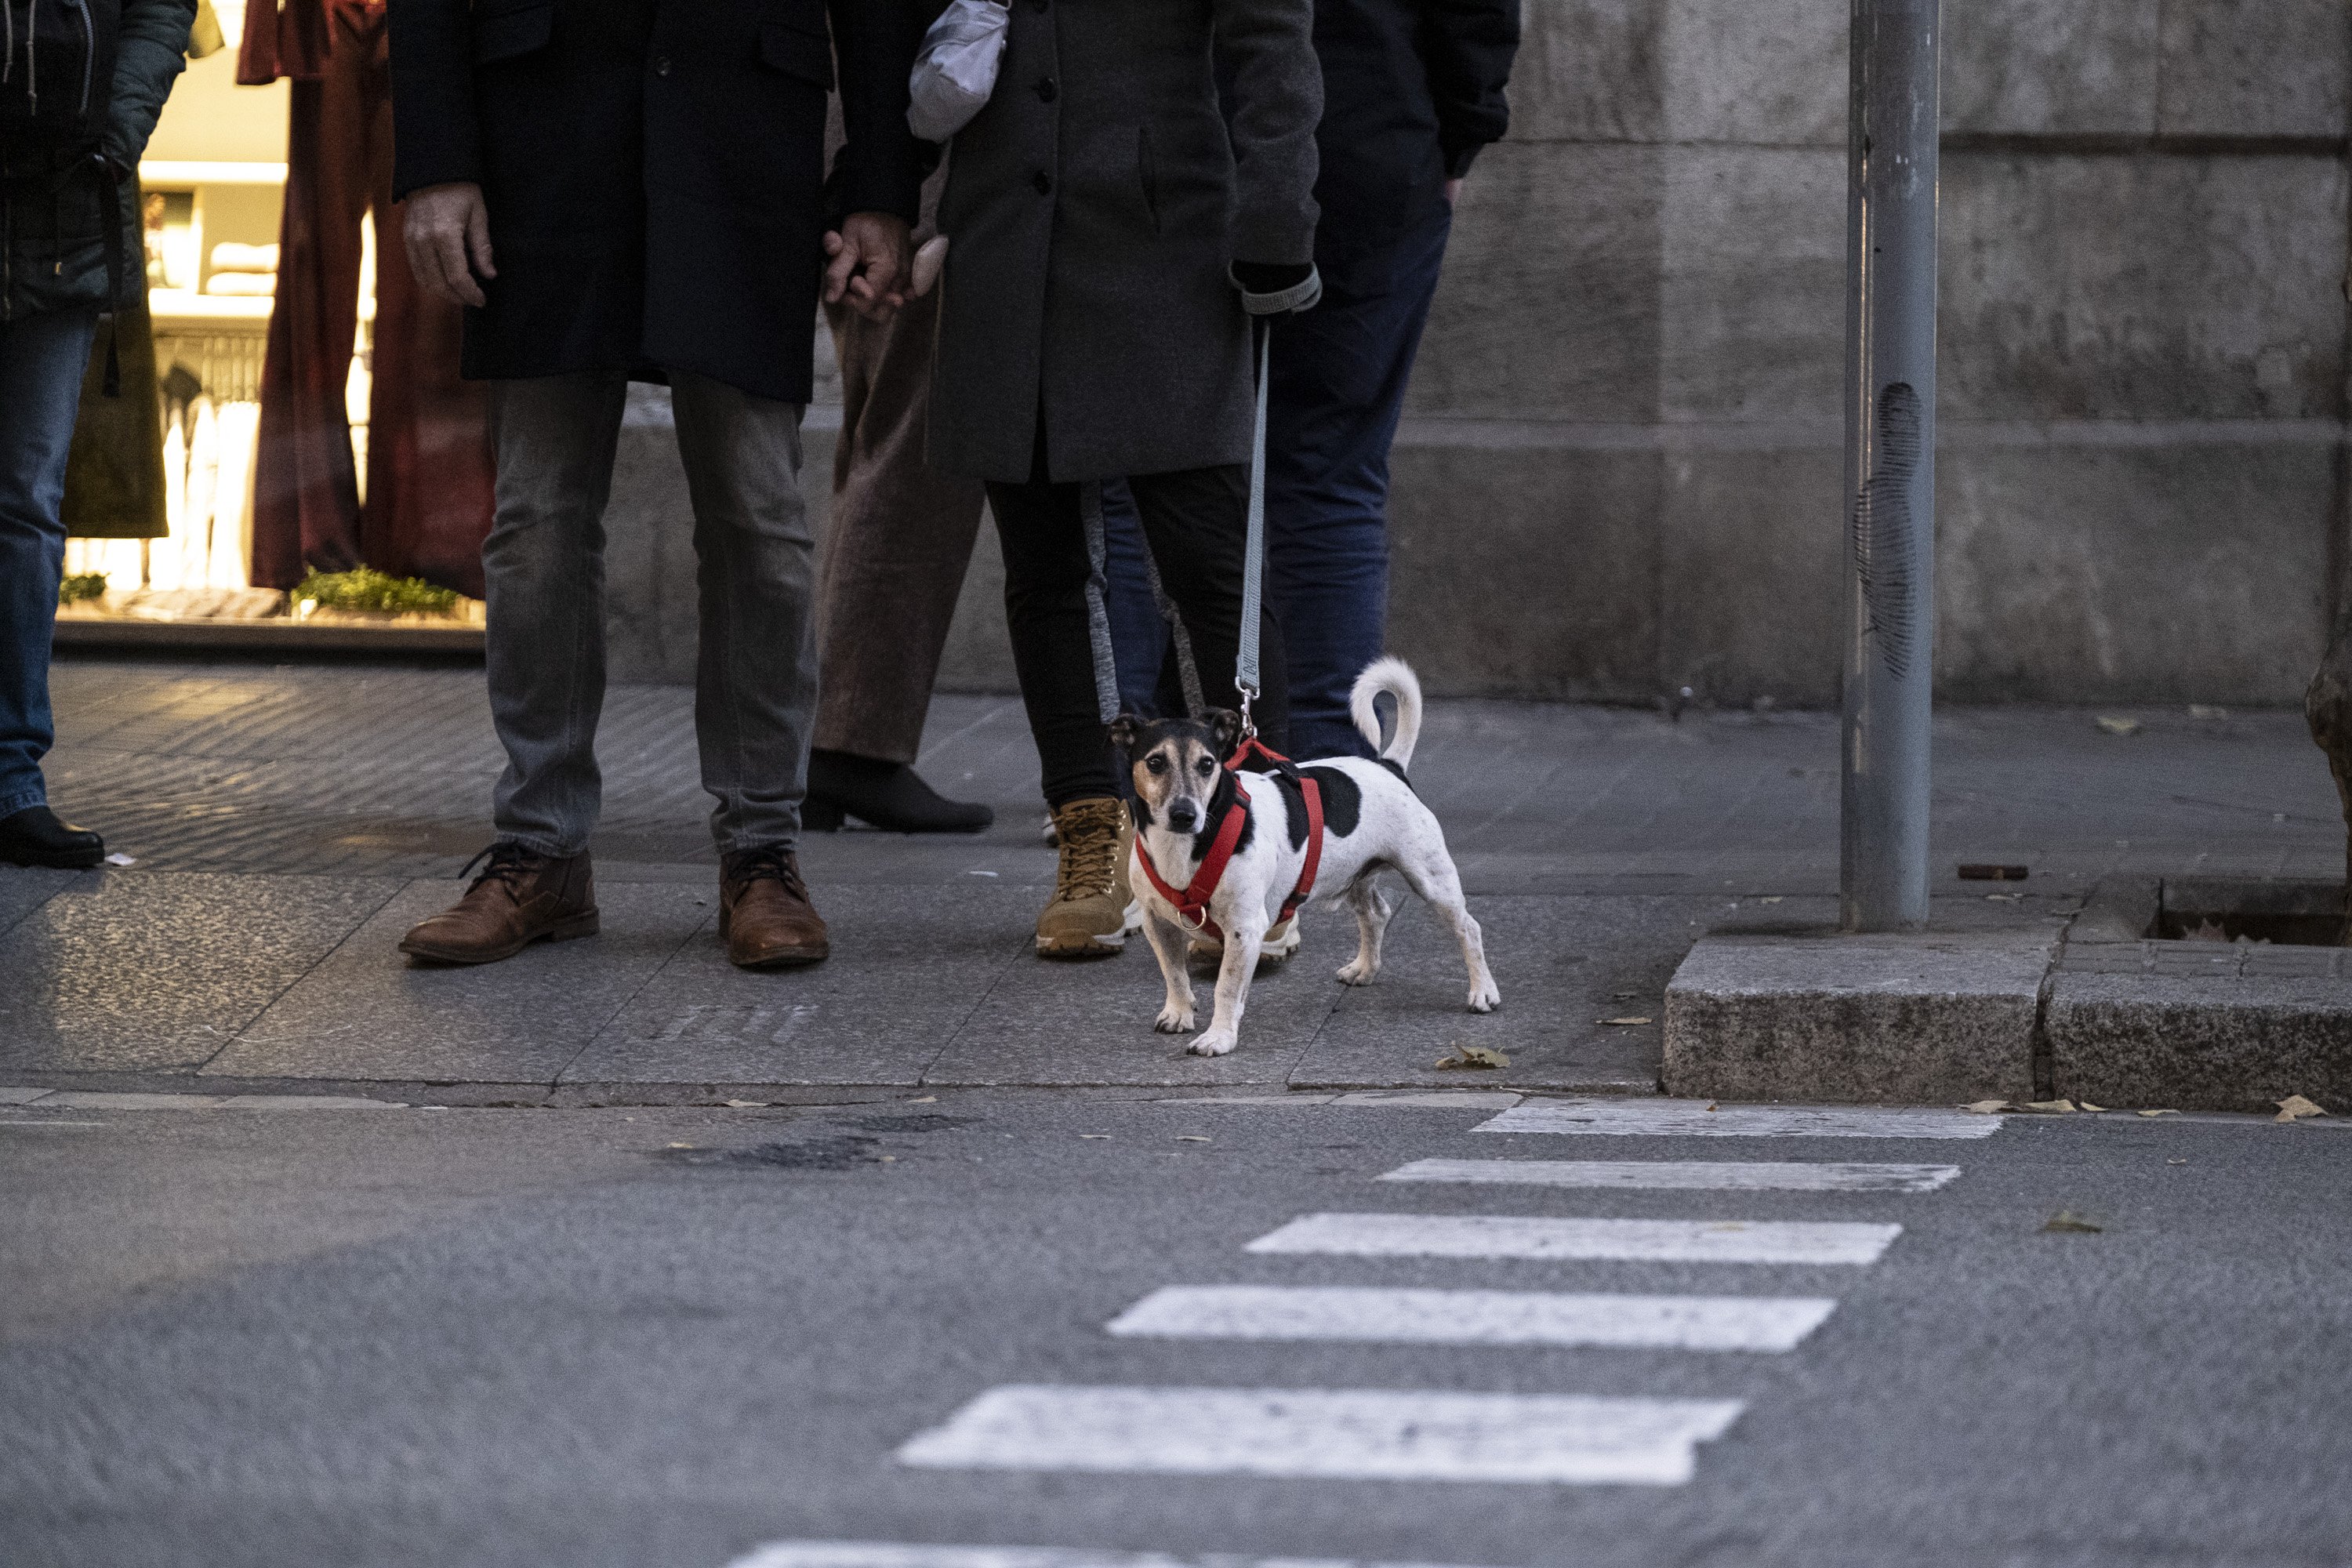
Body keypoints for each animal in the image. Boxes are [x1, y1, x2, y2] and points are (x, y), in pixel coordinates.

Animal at [1110, 658, 1496, 1062]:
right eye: (1155, 762)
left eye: (1207, 764)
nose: (1184, 814)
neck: (1183, 846)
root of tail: (1389, 766)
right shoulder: (1157, 923)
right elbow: (1173, 972)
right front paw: (1179, 1012)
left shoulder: (1244, 929)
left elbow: (1226, 988)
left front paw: (1219, 1037)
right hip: (1356, 876)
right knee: (1376, 915)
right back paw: (1364, 969)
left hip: (1432, 880)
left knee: (1469, 928)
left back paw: (1483, 992)